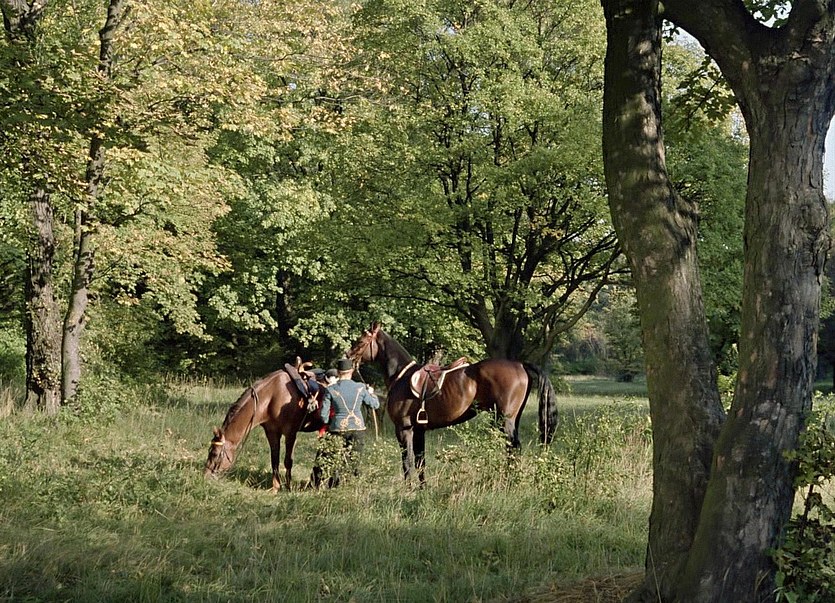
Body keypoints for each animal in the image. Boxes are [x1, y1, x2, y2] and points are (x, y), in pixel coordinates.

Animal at [346, 322, 559, 483]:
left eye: (360, 341)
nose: (347, 357)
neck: (402, 376)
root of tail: (520, 364)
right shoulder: (419, 430)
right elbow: (420, 462)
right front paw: (422, 489)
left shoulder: (404, 429)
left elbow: (407, 462)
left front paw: (408, 489)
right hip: (513, 419)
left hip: (504, 420)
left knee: (513, 448)